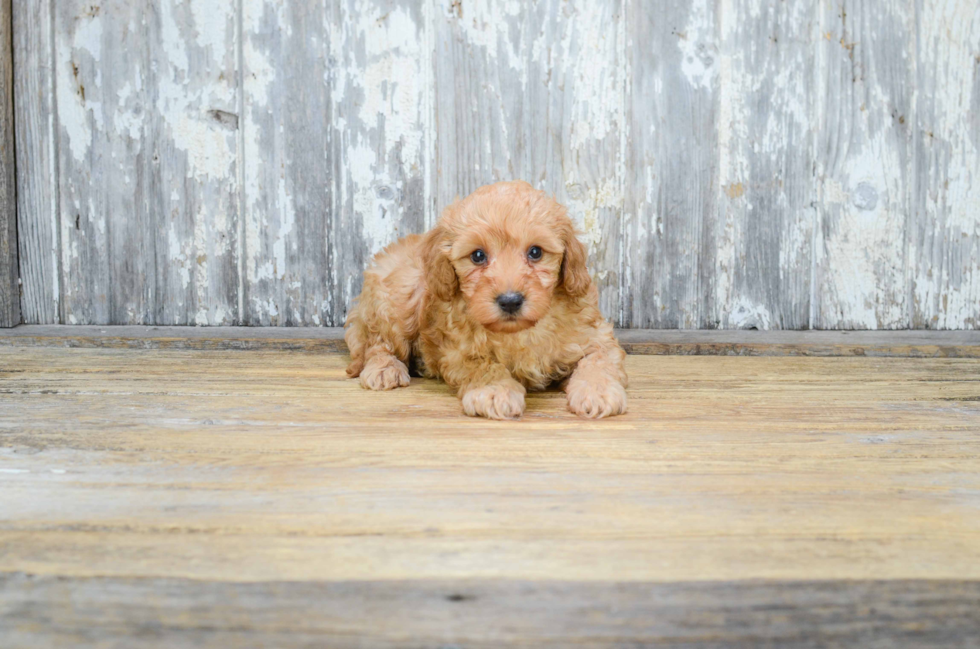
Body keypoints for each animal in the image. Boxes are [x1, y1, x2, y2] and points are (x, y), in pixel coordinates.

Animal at [344, 180, 628, 418]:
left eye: (535, 252)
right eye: (478, 256)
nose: (510, 301)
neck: (520, 332)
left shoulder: (596, 336)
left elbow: (598, 360)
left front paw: (598, 391)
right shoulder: (457, 352)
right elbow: (483, 366)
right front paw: (494, 392)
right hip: (399, 297)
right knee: (378, 343)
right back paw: (384, 369)